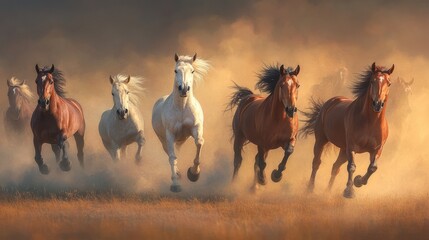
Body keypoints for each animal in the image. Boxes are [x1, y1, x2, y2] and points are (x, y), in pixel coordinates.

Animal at [151, 53, 210, 192]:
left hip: (181, 139)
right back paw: (177, 175)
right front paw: (175, 184)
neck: (182, 108)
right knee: (170, 154)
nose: (183, 89)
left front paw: (194, 174)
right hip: (164, 140)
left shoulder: (196, 128)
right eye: (175, 70)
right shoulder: (170, 135)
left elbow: (199, 143)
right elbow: (172, 158)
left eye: (192, 71)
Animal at [300, 62, 394, 199]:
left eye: (389, 83)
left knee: (335, 167)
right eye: (372, 81)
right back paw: (310, 189)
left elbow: (372, 168)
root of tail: (330, 102)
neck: (370, 122)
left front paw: (358, 181)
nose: (377, 104)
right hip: (321, 140)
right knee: (316, 163)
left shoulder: (377, 149)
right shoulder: (352, 147)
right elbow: (351, 167)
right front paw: (349, 191)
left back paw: (328, 191)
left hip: (343, 150)